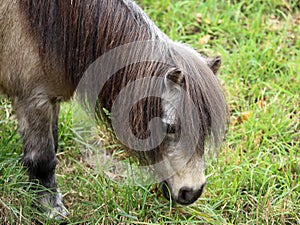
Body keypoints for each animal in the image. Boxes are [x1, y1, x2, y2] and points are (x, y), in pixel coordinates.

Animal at [0, 0, 225, 218]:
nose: (193, 191)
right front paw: (49, 206)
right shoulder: (34, 100)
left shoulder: (49, 101)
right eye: (170, 127)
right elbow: (44, 158)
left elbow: (51, 144)